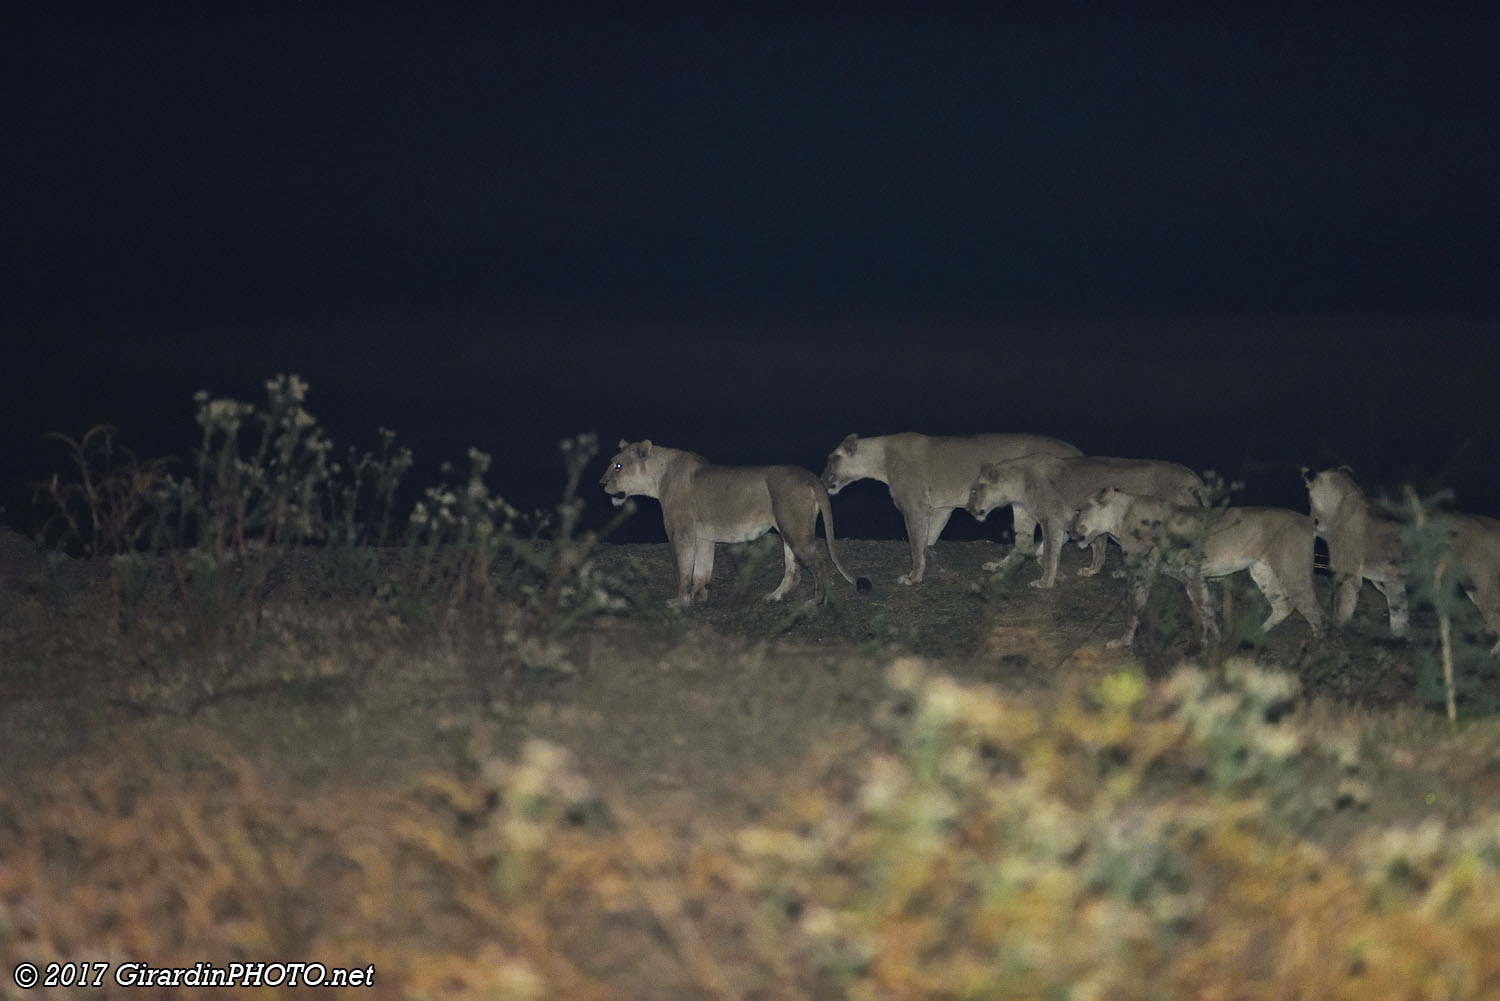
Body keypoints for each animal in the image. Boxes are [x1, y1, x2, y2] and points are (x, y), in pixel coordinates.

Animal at [594, 441, 864, 612]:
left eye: (618, 466)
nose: (601, 483)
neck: (658, 476)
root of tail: (810, 477)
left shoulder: (681, 533)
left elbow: (682, 570)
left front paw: (680, 602)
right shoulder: (704, 537)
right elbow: (701, 570)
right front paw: (699, 597)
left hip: (796, 531)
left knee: (819, 563)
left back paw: (815, 603)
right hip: (789, 529)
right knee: (793, 570)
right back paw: (775, 596)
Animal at [816, 432, 1086, 588]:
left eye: (831, 459)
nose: (821, 478)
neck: (879, 459)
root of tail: (1077, 452)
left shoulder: (914, 507)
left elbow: (916, 544)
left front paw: (913, 577)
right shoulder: (942, 508)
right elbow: (928, 539)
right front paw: (926, 562)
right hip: (1021, 506)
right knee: (1023, 544)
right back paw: (1000, 567)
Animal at [966, 453, 1212, 588]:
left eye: (974, 490)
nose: (968, 509)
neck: (1017, 487)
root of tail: (1194, 479)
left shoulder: (1053, 520)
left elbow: (1050, 552)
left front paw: (1045, 581)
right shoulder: (1058, 522)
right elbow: (1028, 550)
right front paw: (999, 566)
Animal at [1068, 486, 1326, 651]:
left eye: (1078, 511)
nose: (1069, 532)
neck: (1119, 519)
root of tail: (1308, 521)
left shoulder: (1156, 574)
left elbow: (1133, 610)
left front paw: (1122, 642)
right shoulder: (1191, 576)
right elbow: (1206, 612)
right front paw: (1216, 641)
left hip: (1294, 574)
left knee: (1316, 614)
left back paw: (1317, 650)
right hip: (1261, 571)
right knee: (1284, 605)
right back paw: (1253, 634)